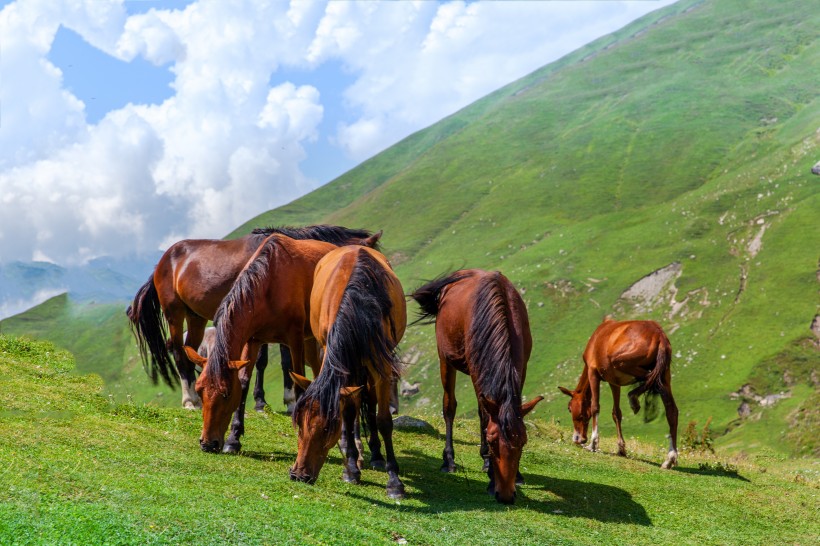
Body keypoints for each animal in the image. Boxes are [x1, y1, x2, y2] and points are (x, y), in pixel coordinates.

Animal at [126, 222, 382, 408]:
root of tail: (162, 263)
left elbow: (284, 360)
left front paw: (287, 399)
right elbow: (262, 360)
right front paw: (263, 401)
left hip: (195, 317)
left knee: (189, 350)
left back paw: (197, 398)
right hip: (175, 314)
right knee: (178, 351)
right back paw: (189, 401)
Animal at [183, 234, 356, 450]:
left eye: (226, 394)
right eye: (199, 390)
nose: (207, 443)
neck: (269, 282)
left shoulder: (294, 339)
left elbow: (298, 383)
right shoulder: (253, 340)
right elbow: (244, 382)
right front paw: (234, 438)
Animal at [288, 245, 406, 498]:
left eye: (325, 429)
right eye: (299, 424)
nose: (298, 475)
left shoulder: (381, 365)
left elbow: (383, 420)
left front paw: (394, 481)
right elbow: (349, 412)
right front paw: (351, 468)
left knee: (370, 402)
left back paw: (377, 456)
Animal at [410, 270, 544, 504]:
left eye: (523, 443)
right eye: (492, 441)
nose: (506, 495)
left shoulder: (522, 368)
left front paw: (516, 474)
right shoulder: (475, 371)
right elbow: (483, 416)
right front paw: (490, 472)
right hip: (445, 360)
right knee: (449, 407)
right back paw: (449, 461)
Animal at [556, 318, 680, 468]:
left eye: (569, 408)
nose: (577, 438)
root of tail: (659, 335)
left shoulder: (593, 373)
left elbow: (595, 407)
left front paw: (593, 444)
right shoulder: (614, 382)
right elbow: (616, 413)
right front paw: (621, 448)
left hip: (620, 361)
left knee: (652, 379)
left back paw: (633, 398)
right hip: (665, 374)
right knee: (671, 410)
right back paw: (670, 458)